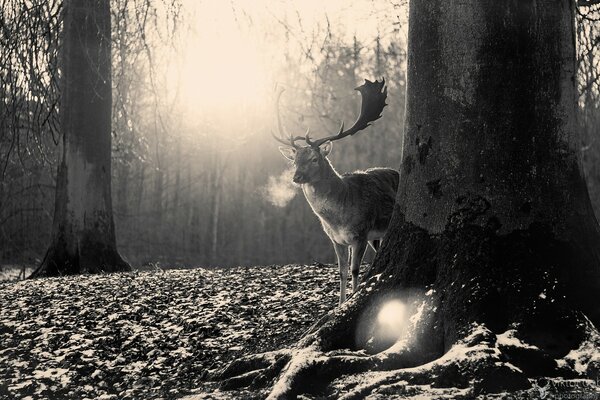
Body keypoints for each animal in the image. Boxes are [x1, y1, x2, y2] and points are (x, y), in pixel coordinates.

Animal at [276, 77, 398, 304]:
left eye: (314, 159)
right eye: (295, 160)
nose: (297, 177)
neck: (338, 219)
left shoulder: (360, 234)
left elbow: (355, 270)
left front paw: (352, 297)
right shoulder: (336, 240)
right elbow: (341, 271)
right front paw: (340, 303)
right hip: (376, 236)